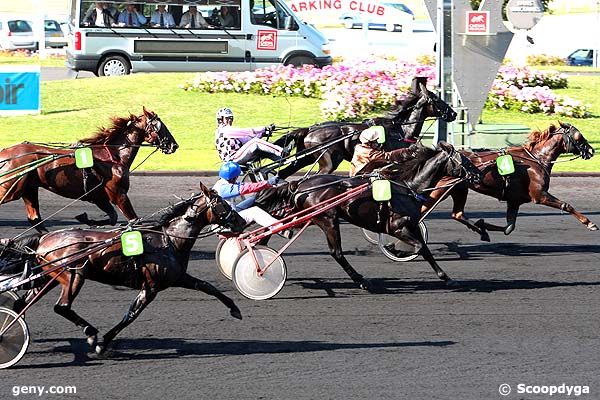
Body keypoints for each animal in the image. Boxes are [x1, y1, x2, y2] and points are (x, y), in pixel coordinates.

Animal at [0, 107, 178, 231]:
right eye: (159, 126)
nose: (174, 145)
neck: (113, 156)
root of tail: (4, 153)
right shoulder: (118, 194)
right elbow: (134, 220)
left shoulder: (99, 197)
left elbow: (112, 217)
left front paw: (87, 219)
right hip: (11, 188)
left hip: (28, 189)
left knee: (35, 218)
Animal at [253, 142, 482, 290]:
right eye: (464, 160)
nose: (478, 174)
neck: (408, 187)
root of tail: (299, 185)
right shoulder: (398, 226)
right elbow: (419, 247)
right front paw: (396, 250)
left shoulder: (411, 224)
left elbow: (424, 248)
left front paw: (447, 278)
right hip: (327, 219)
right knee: (336, 252)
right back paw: (362, 280)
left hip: (300, 215)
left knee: (268, 231)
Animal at [270, 78, 458, 178]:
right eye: (437, 100)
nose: (454, 113)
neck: (399, 130)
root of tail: (309, 130)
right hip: (328, 161)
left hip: (306, 157)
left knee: (284, 173)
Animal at [422, 122, 596, 241]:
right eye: (578, 136)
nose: (591, 150)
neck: (537, 159)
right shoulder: (539, 195)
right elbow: (566, 205)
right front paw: (589, 223)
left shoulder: (514, 201)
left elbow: (509, 228)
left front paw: (482, 225)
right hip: (441, 189)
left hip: (459, 189)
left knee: (457, 214)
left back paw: (481, 231)